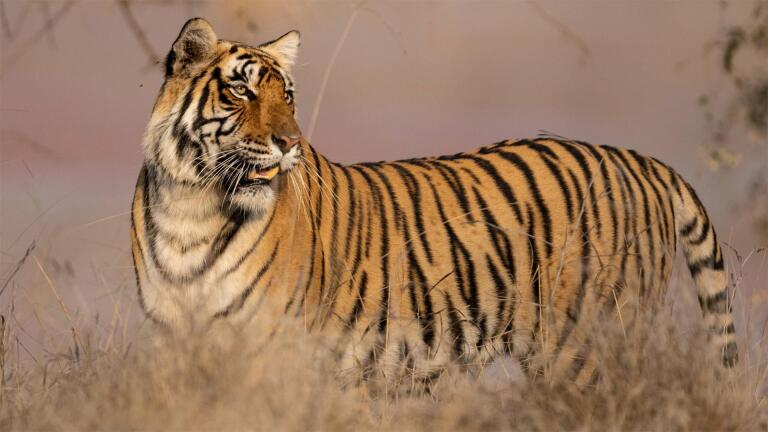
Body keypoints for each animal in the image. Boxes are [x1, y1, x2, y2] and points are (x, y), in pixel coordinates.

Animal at [131, 17, 738, 387]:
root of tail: (640, 159)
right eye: (242, 90)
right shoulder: (171, 340)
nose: (290, 143)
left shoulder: (270, 347)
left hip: (589, 347)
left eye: (289, 96)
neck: (192, 205)